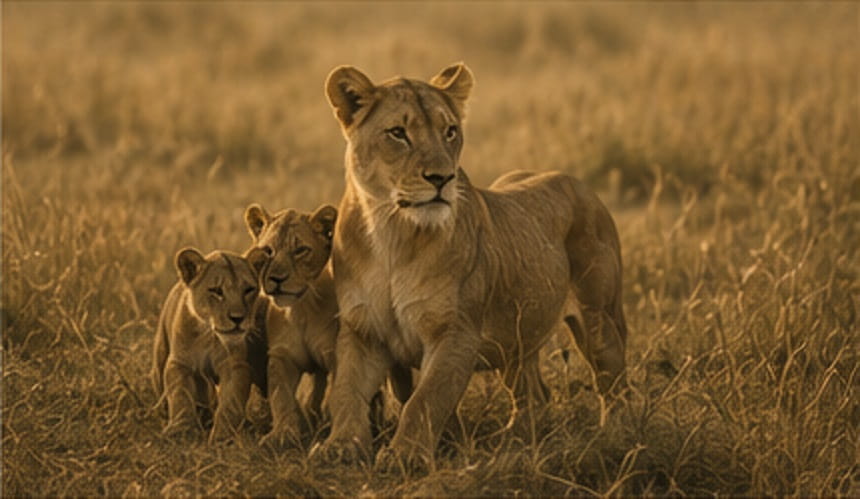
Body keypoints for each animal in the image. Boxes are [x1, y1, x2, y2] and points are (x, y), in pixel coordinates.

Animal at [151, 246, 270, 443]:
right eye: (216, 291)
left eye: (248, 290)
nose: (238, 318)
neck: (210, 337)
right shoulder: (180, 363)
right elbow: (180, 395)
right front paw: (182, 430)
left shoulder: (236, 367)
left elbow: (230, 403)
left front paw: (223, 437)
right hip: (161, 357)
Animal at [245, 203, 413, 448]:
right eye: (268, 251)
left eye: (300, 250)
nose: (277, 279)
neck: (302, 309)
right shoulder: (281, 356)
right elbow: (280, 397)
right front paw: (283, 434)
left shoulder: (336, 354)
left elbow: (339, 393)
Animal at [312, 62, 628, 471]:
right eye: (398, 133)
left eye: (450, 131)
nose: (442, 178)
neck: (391, 234)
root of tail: (581, 183)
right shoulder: (362, 331)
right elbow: (346, 393)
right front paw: (340, 446)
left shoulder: (456, 332)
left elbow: (425, 400)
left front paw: (404, 456)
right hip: (516, 338)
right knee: (535, 395)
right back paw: (513, 438)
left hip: (598, 318)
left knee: (615, 384)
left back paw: (615, 435)